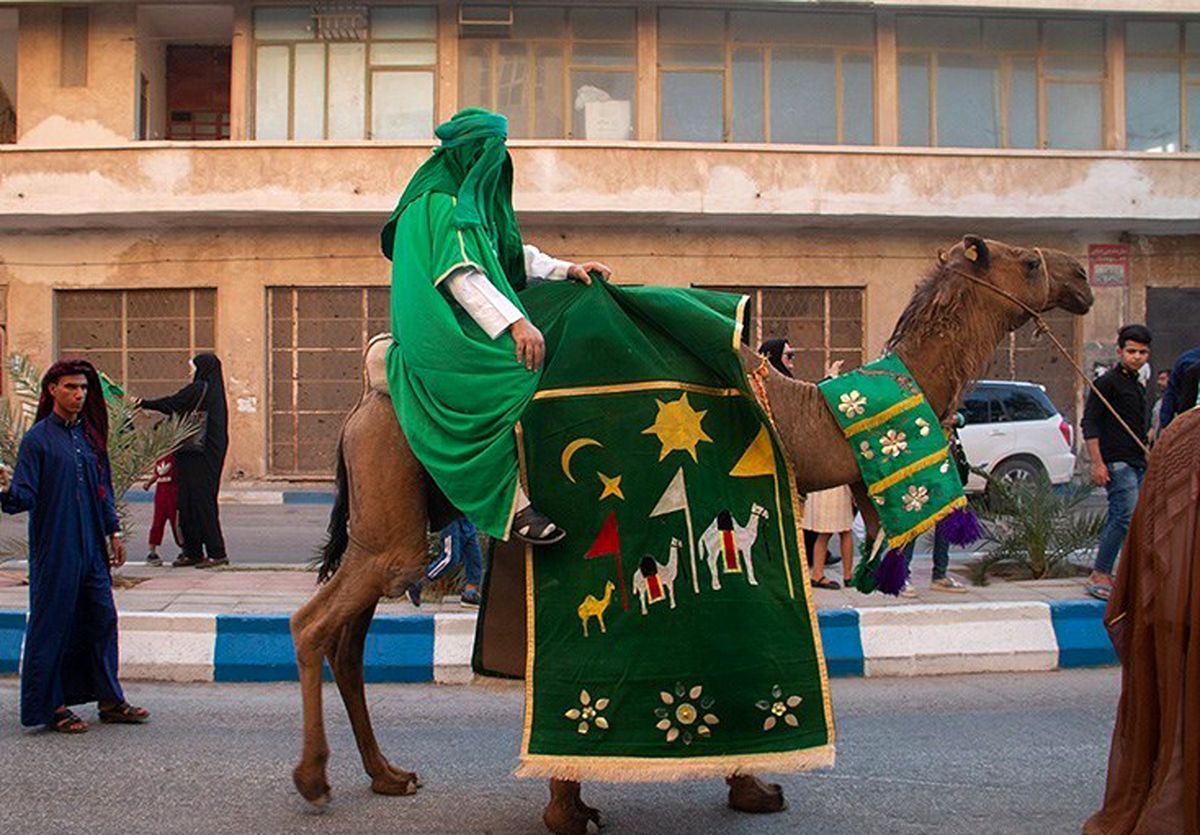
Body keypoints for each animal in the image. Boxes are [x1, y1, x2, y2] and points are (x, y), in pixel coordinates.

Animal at [288, 236, 1089, 835]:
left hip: (388, 523)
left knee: (348, 643)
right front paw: (727, 785)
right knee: (312, 626)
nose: (1080, 276)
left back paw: (388, 776)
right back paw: (314, 779)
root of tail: (364, 400)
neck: (802, 415)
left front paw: (607, 796)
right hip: (393, 515)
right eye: (1028, 260)